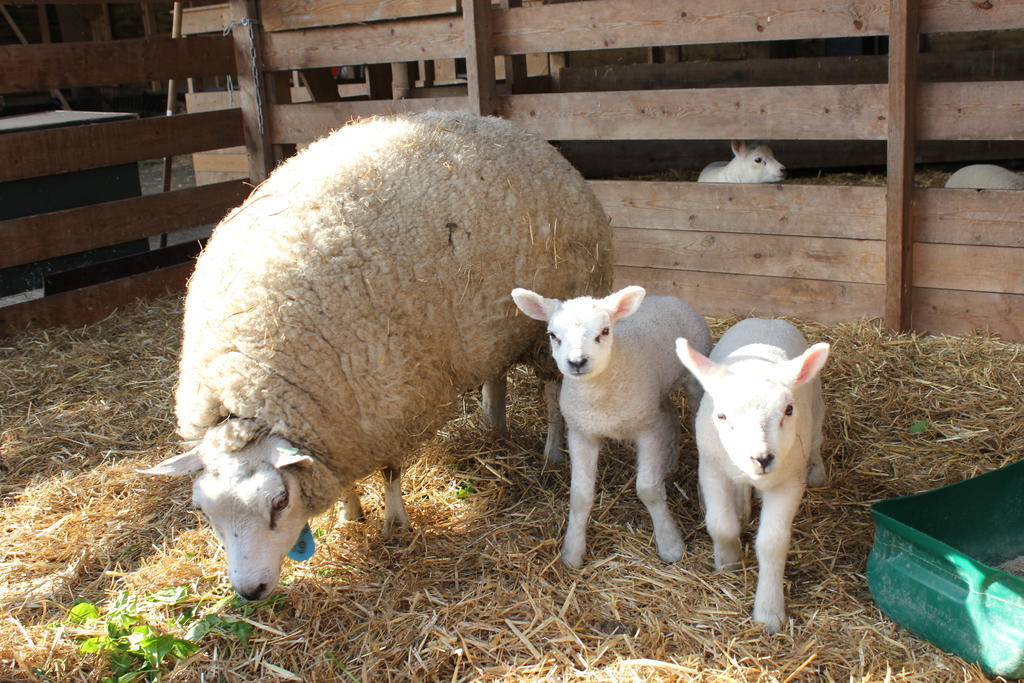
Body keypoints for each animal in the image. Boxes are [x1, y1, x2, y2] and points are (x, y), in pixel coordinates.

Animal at [140, 109, 610, 602]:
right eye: (203, 510)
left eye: (279, 501)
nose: (250, 591)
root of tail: (515, 130)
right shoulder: (343, 421)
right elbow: (345, 478)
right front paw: (350, 516)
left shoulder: (389, 401)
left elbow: (390, 471)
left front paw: (394, 524)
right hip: (490, 329)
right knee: (495, 373)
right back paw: (493, 426)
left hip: (546, 333)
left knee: (552, 394)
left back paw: (553, 452)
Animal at [512, 286, 712, 569]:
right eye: (552, 335)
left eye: (605, 331)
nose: (577, 362)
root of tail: (668, 297)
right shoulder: (581, 432)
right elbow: (580, 495)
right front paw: (572, 552)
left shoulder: (648, 431)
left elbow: (649, 490)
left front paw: (671, 545)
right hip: (655, 398)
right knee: (670, 414)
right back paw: (669, 463)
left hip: (693, 382)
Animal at [671, 319, 831, 630]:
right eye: (721, 416)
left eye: (788, 409)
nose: (762, 458)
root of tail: (766, 319)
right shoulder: (711, 469)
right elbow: (721, 525)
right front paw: (728, 561)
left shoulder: (789, 481)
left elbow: (772, 543)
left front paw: (769, 611)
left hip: (817, 408)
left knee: (818, 439)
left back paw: (817, 472)